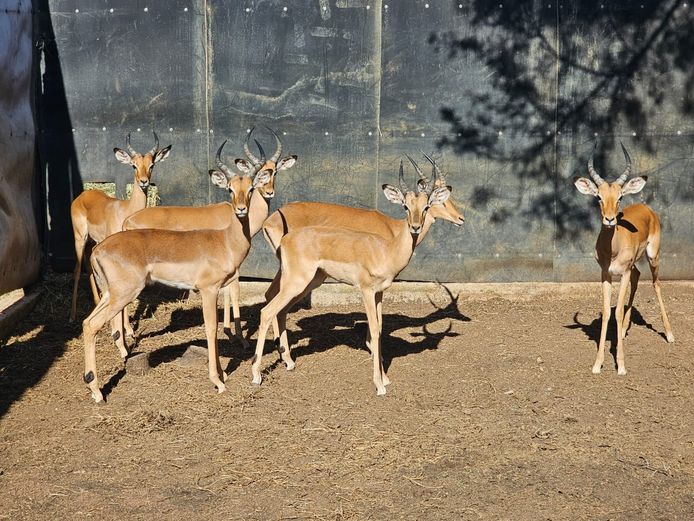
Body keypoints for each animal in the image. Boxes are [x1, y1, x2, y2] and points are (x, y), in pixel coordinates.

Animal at [69, 131, 171, 322]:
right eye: (133, 165)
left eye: (152, 164)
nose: (144, 182)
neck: (126, 211)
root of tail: (82, 195)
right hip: (80, 237)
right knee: (77, 270)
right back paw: (72, 315)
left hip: (93, 242)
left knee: (88, 265)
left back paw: (96, 301)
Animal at [82, 144, 272, 403]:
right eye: (230, 188)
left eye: (251, 188)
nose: (241, 209)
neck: (225, 241)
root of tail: (97, 250)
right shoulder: (208, 290)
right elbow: (211, 329)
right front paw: (218, 382)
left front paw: (223, 375)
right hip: (123, 294)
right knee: (93, 325)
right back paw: (97, 392)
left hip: (111, 294)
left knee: (86, 322)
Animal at [122, 128, 296, 347]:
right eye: (262, 175)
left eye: (275, 171)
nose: (269, 192)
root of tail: (128, 220)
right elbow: (234, 292)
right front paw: (240, 338)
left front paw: (229, 331)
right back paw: (128, 334)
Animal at [251, 160, 455, 396]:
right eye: (405, 206)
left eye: (426, 206)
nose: (415, 227)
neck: (387, 249)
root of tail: (285, 238)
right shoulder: (366, 290)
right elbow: (374, 330)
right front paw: (379, 385)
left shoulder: (379, 293)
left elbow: (380, 328)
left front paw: (385, 378)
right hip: (296, 283)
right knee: (267, 311)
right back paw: (256, 375)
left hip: (308, 283)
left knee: (279, 310)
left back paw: (289, 363)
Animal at [574, 143, 674, 376]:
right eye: (598, 197)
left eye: (620, 197)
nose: (610, 219)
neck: (612, 249)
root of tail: (646, 208)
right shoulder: (606, 275)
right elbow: (607, 313)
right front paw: (597, 364)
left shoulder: (624, 272)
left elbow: (617, 312)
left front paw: (621, 365)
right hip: (634, 266)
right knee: (638, 277)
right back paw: (624, 330)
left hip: (653, 256)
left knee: (656, 284)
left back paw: (669, 334)